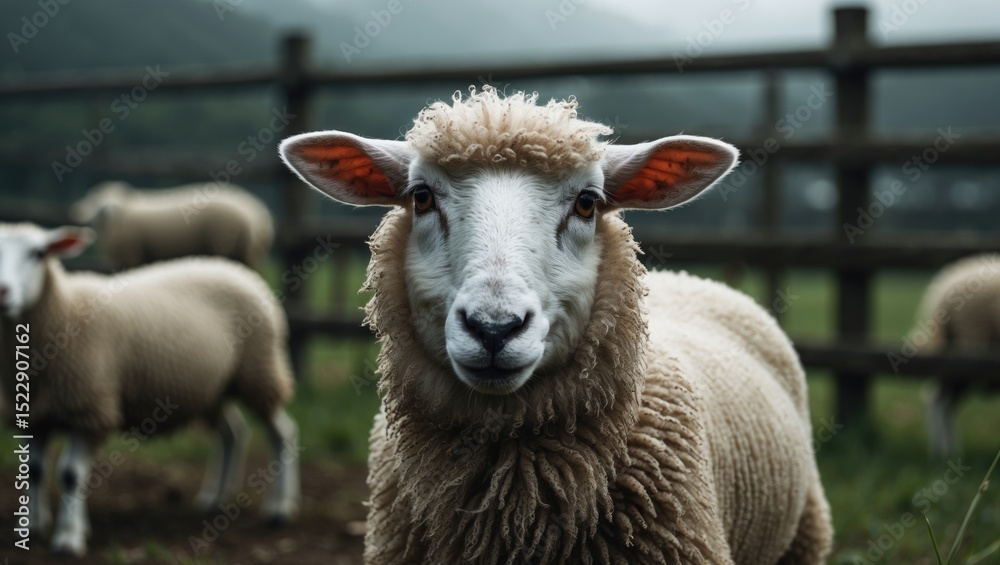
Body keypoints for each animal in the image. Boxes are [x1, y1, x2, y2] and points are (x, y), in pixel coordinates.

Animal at [0, 223, 299, 556]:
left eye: (38, 253)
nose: (3, 292)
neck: (63, 308)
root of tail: (237, 270)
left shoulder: (90, 408)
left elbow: (70, 475)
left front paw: (68, 538)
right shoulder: (37, 414)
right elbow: (34, 471)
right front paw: (32, 528)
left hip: (258, 373)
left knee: (282, 433)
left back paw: (279, 510)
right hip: (212, 389)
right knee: (232, 433)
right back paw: (214, 498)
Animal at [69, 181, 274, 270]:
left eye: (112, 206)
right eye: (96, 207)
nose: (108, 214)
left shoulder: (131, 256)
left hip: (223, 243)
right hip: (248, 253)